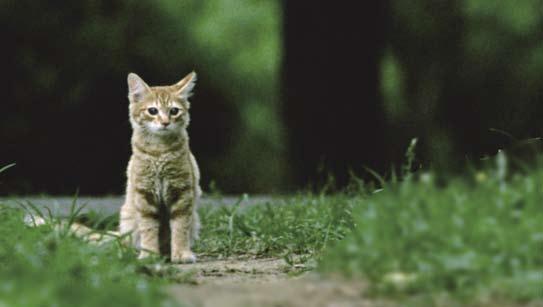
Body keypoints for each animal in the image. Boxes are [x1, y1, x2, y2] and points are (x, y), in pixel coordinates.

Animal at [119, 71, 202, 264]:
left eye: (174, 111)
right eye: (152, 111)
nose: (165, 122)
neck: (160, 152)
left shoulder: (182, 192)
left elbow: (180, 227)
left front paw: (181, 254)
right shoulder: (144, 194)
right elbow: (148, 229)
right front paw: (149, 254)